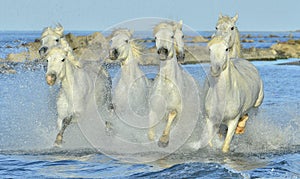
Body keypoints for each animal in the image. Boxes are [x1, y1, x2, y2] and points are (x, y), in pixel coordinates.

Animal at [148, 20, 202, 148]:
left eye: (171, 36)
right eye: (155, 37)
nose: (163, 51)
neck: (167, 85)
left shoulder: (177, 110)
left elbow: (172, 114)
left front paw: (163, 140)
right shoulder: (154, 108)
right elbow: (151, 130)